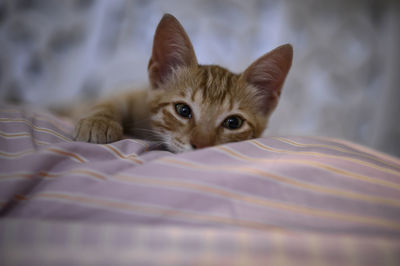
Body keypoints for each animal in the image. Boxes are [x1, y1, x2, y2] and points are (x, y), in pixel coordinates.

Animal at [73, 13, 292, 153]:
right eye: (183, 110)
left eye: (233, 123)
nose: (201, 146)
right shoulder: (136, 93)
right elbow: (114, 99)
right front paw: (98, 121)